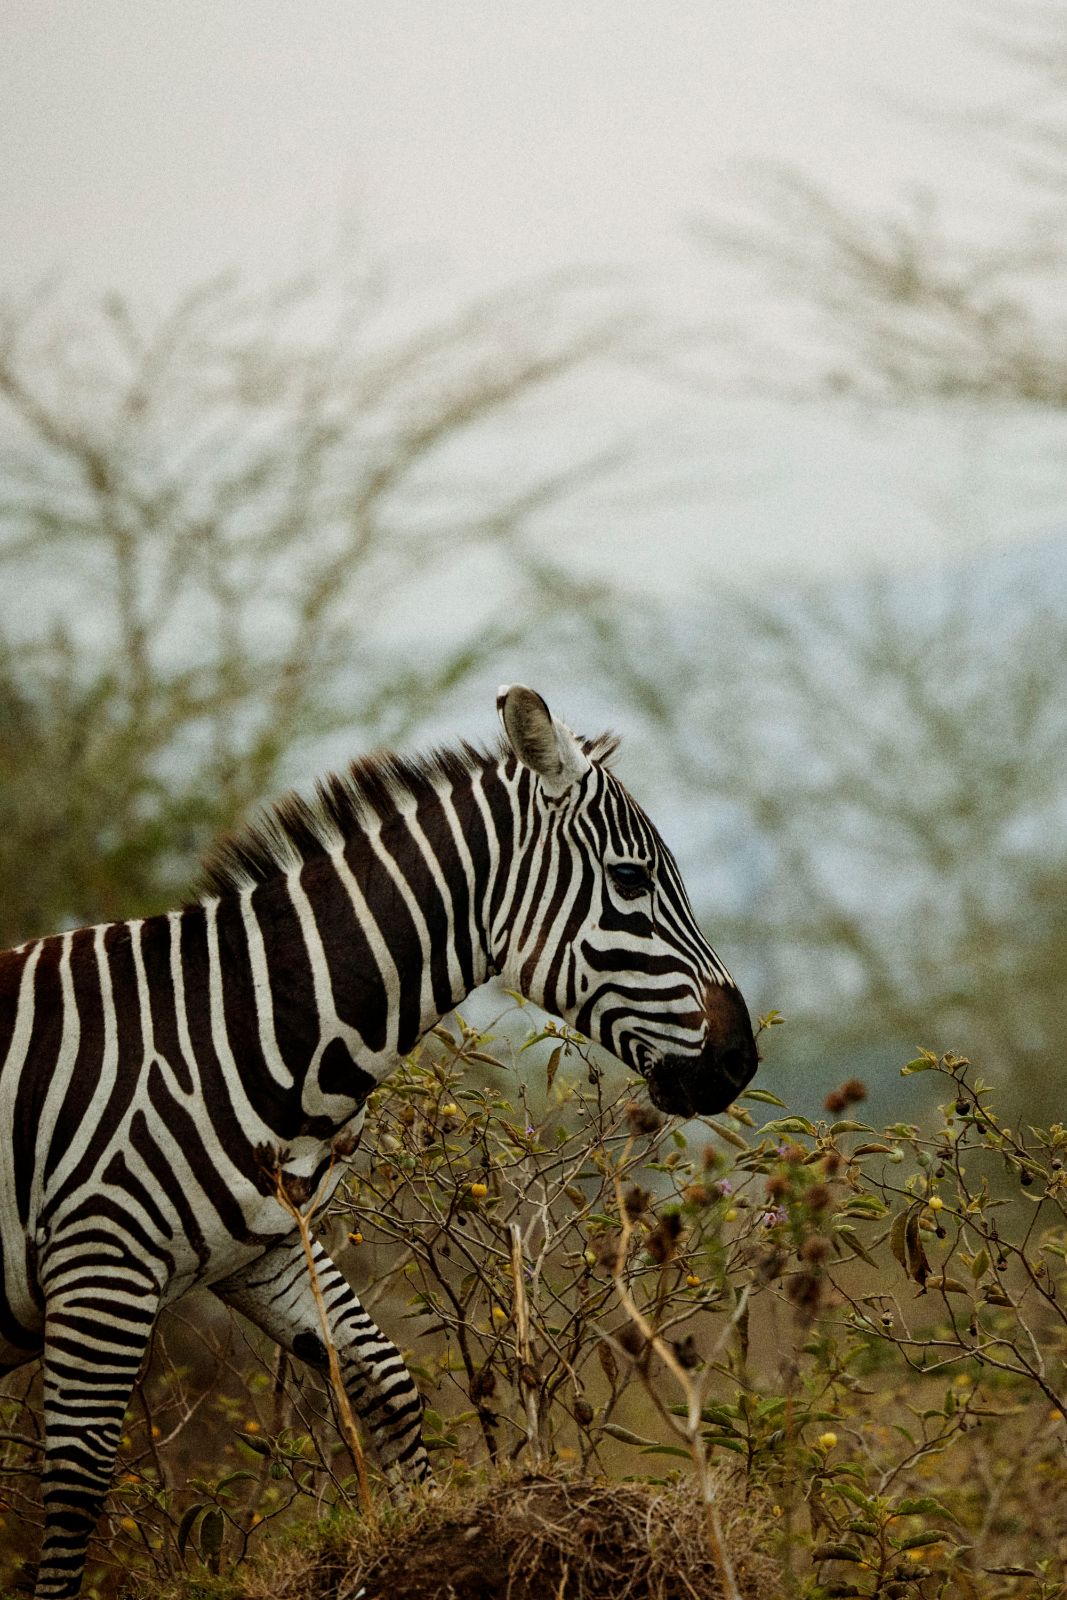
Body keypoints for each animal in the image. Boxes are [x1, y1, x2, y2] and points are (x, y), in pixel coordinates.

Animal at [0, 684, 757, 1597]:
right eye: (630, 878)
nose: (741, 1059)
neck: (225, 1031)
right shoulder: (99, 1261)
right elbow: (77, 1481)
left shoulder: (263, 1249)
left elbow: (384, 1382)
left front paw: (423, 1540)